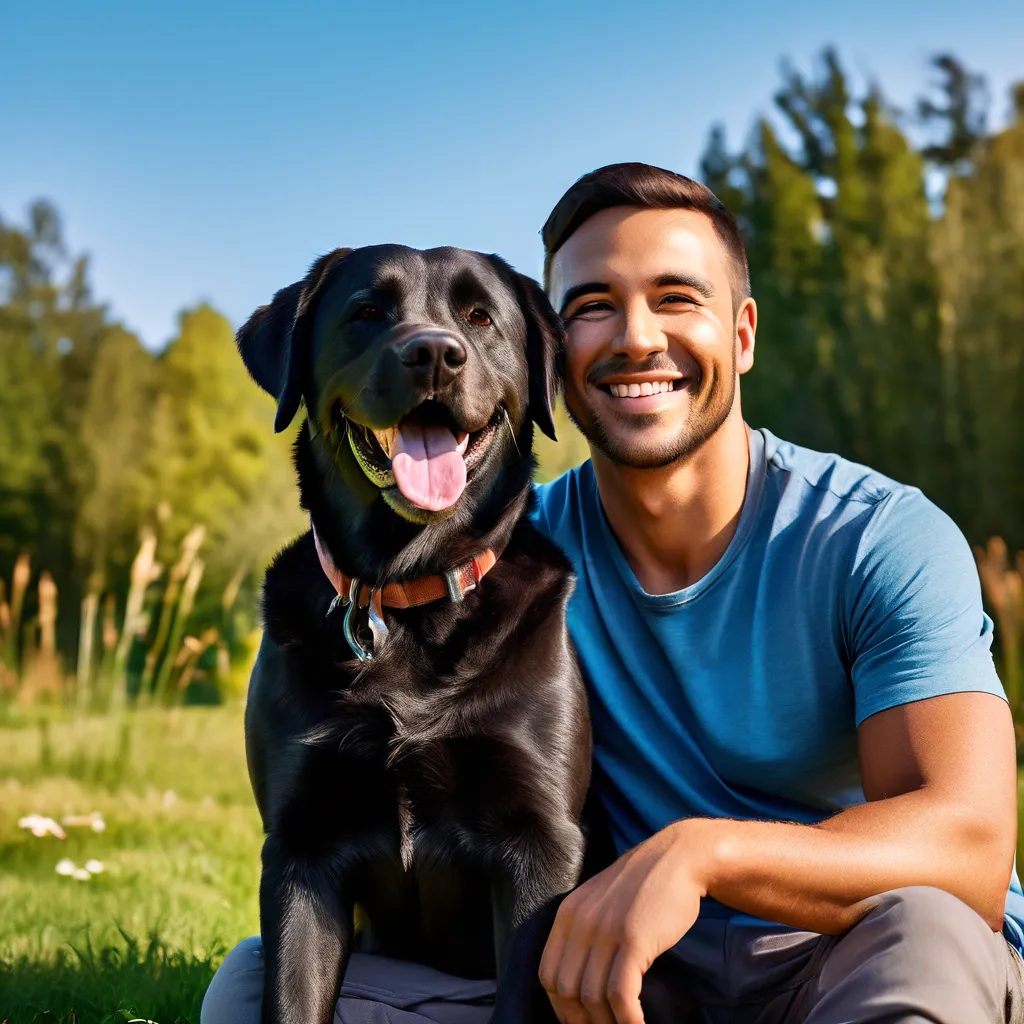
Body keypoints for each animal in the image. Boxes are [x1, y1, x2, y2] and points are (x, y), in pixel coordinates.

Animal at [237, 245, 593, 1024]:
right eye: (367, 311)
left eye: (480, 316)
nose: (433, 353)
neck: (407, 598)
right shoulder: (301, 849)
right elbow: (291, 998)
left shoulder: (540, 849)